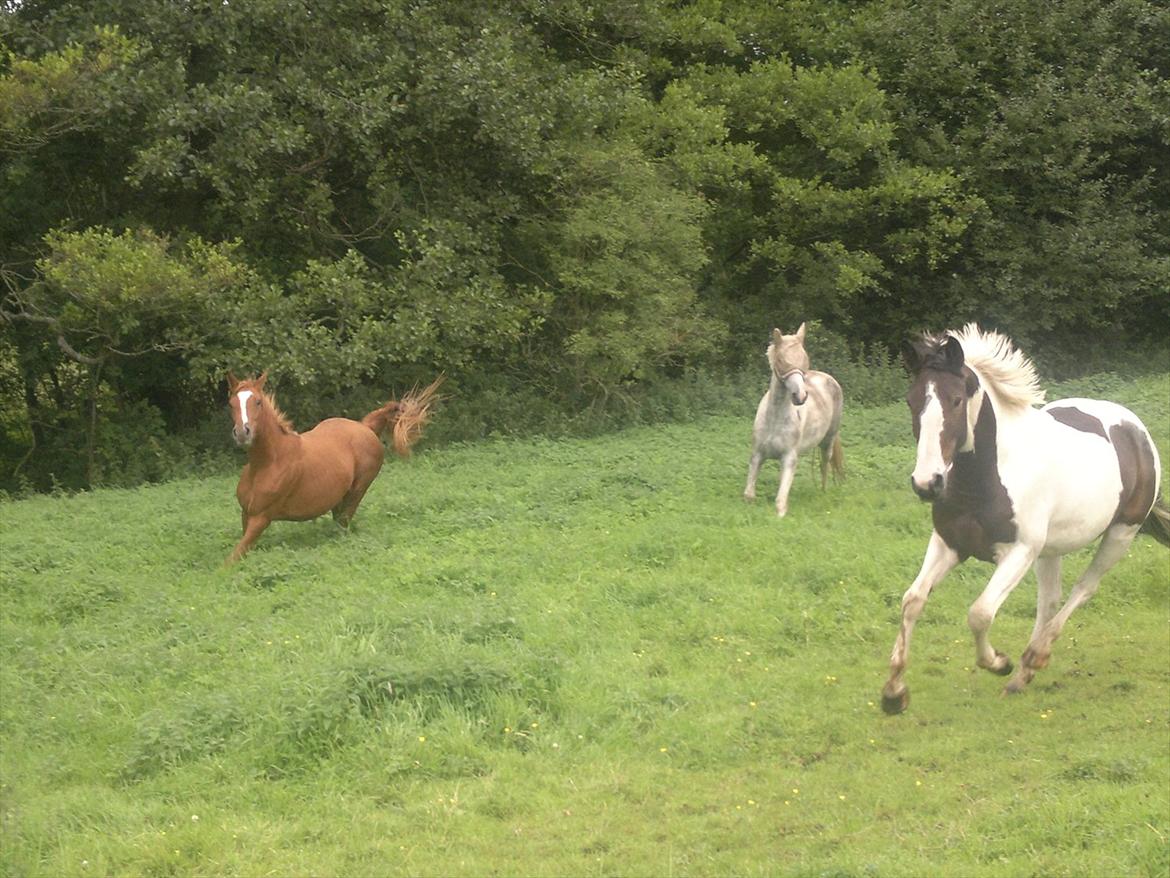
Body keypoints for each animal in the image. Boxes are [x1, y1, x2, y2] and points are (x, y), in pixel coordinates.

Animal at [224, 369, 442, 564]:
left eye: (258, 402)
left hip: (357, 491)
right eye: (231, 403)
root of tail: (366, 427)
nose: (242, 433)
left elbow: (231, 560)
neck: (266, 464)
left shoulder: (261, 518)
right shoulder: (246, 515)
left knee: (343, 523)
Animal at [748, 320, 842, 515]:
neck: (775, 418)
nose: (800, 396)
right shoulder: (757, 454)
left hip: (829, 439)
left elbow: (780, 503)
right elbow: (749, 495)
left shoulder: (790, 458)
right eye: (781, 360)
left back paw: (823, 492)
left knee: (825, 463)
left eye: (805, 359)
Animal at [879, 325, 1165, 716]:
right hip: (1051, 550)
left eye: (956, 400)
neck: (985, 478)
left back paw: (1033, 658)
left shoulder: (1019, 552)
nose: (927, 483)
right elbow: (912, 601)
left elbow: (980, 613)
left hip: (1121, 534)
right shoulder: (948, 543)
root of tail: (1135, 429)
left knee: (1083, 589)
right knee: (1050, 599)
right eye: (911, 401)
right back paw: (1022, 677)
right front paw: (893, 693)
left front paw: (999, 662)